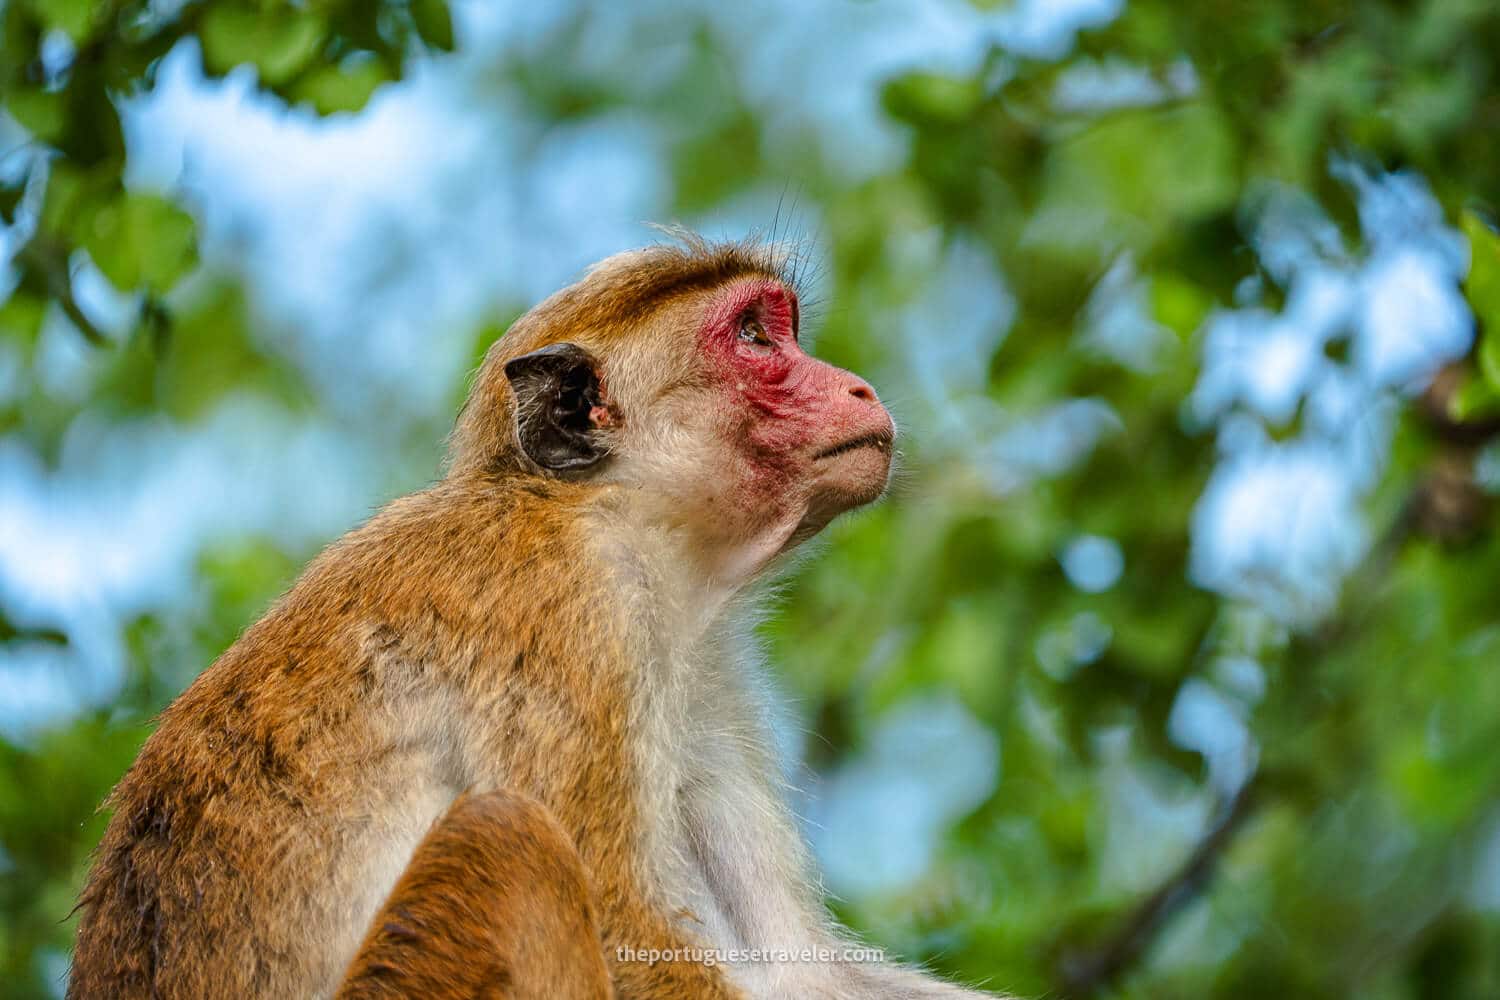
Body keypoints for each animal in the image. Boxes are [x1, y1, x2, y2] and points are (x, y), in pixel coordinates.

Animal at [67, 233, 1000, 999]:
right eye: (753, 338)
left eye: (782, 328)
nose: (859, 387)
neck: (625, 520)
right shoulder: (569, 610)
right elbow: (626, 934)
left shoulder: (704, 672)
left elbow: (803, 969)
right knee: (507, 836)